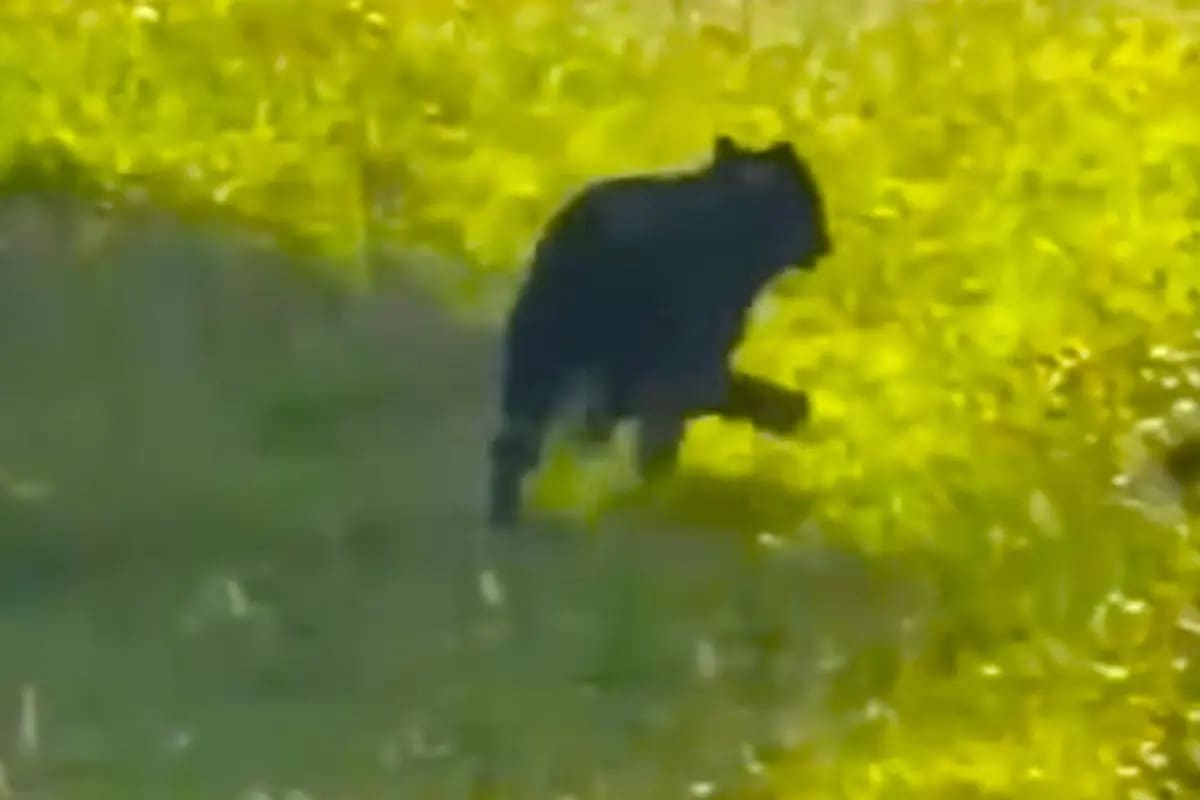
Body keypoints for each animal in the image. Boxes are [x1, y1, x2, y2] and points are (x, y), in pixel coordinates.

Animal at [488, 135, 833, 528]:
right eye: (812, 198)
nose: (827, 241)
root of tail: (589, 234)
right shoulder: (697, 351)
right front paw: (787, 408)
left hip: (539, 338)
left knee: (519, 435)